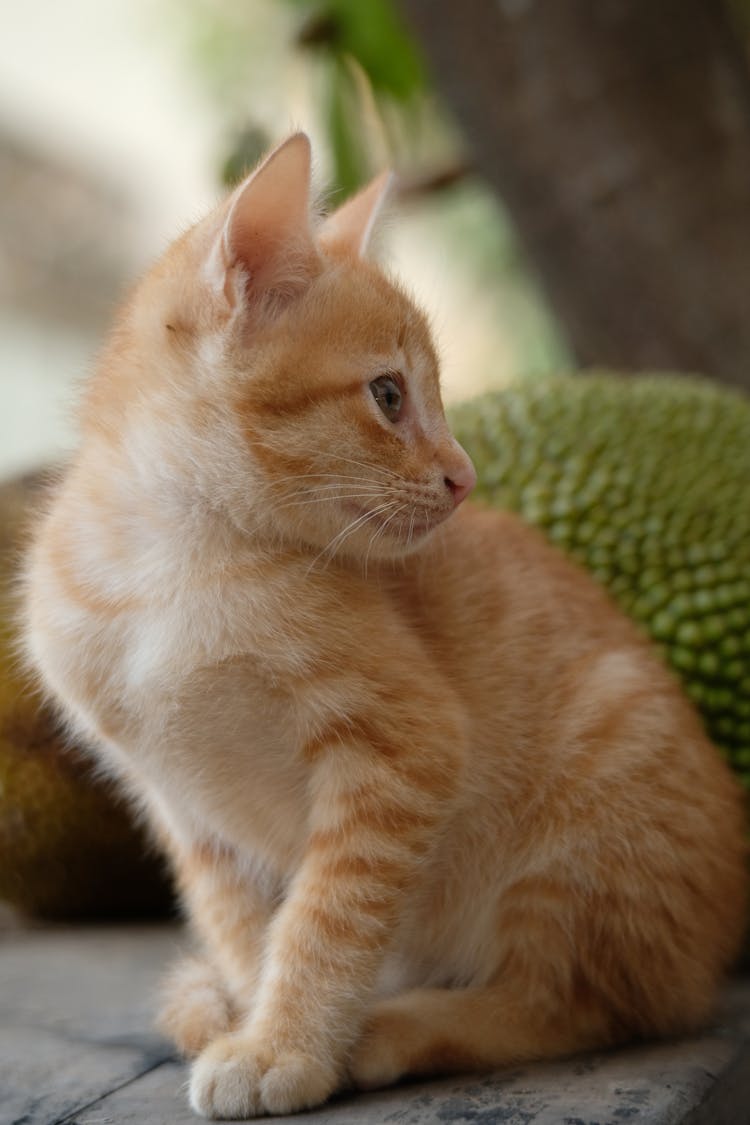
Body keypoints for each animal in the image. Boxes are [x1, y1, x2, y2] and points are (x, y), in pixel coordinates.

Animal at [22, 136, 746, 1120]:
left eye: (423, 395)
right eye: (390, 395)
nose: (464, 476)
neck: (167, 570)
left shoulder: (407, 749)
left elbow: (326, 917)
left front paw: (286, 1043)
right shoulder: (186, 807)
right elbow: (245, 925)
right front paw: (250, 1007)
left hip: (595, 801)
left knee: (576, 1001)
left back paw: (398, 1026)